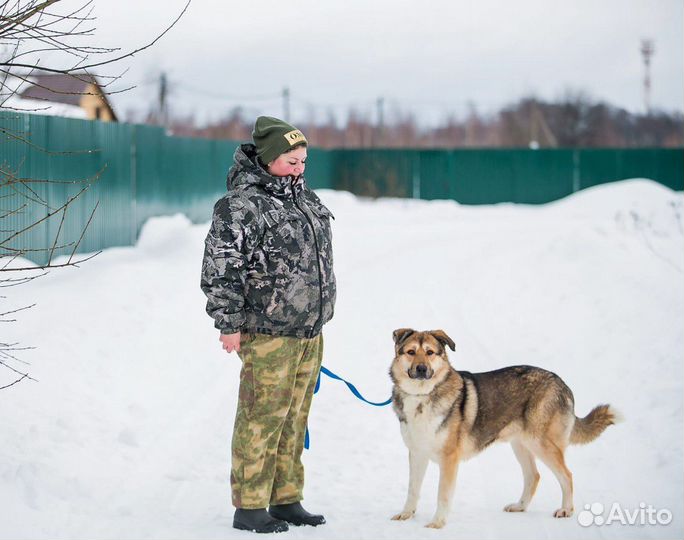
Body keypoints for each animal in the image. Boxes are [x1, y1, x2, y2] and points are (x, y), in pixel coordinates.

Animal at [390, 326, 620, 528]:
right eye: (411, 352)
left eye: (430, 353)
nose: (421, 369)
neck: (421, 396)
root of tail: (562, 384)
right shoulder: (417, 454)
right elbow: (412, 490)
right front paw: (406, 514)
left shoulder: (449, 459)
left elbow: (443, 495)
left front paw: (437, 523)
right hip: (521, 445)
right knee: (534, 476)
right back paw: (520, 506)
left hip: (541, 443)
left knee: (567, 475)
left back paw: (566, 510)